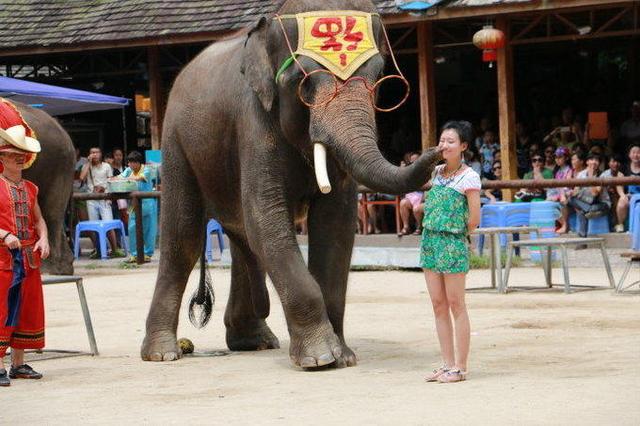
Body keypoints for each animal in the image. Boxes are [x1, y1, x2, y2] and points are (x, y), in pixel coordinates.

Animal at [139, 0, 440, 370]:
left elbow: (335, 225)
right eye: (303, 82)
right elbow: (267, 219)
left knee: (244, 239)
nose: (440, 151)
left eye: (379, 80)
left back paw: (253, 342)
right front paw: (320, 359)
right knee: (185, 239)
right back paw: (162, 353)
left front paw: (344, 357)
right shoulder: (252, 119)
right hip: (176, 143)